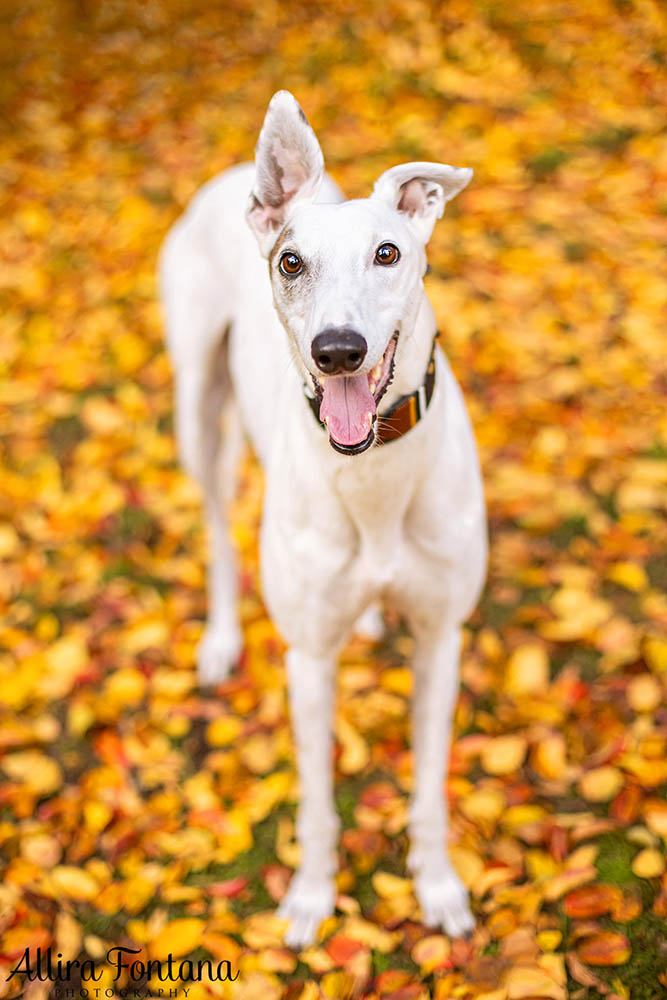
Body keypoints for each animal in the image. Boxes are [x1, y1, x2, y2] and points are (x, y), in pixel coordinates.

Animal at [159, 92, 488, 944]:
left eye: (387, 253)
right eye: (291, 263)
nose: (337, 350)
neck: (373, 475)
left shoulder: (441, 638)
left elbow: (429, 789)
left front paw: (438, 887)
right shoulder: (306, 660)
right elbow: (313, 805)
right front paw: (310, 897)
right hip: (197, 409)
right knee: (216, 530)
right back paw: (220, 639)